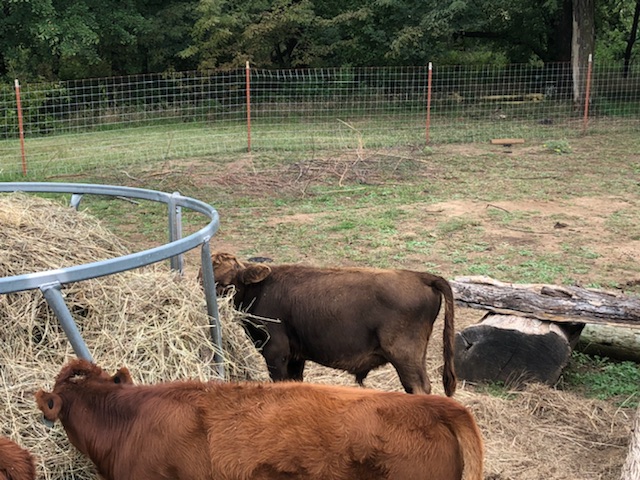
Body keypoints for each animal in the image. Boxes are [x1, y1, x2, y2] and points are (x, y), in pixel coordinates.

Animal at [205, 252, 457, 396]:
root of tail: (420, 276)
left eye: (226, 284)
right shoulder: (296, 355)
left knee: (419, 388)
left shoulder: (276, 353)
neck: (261, 289)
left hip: (405, 357)